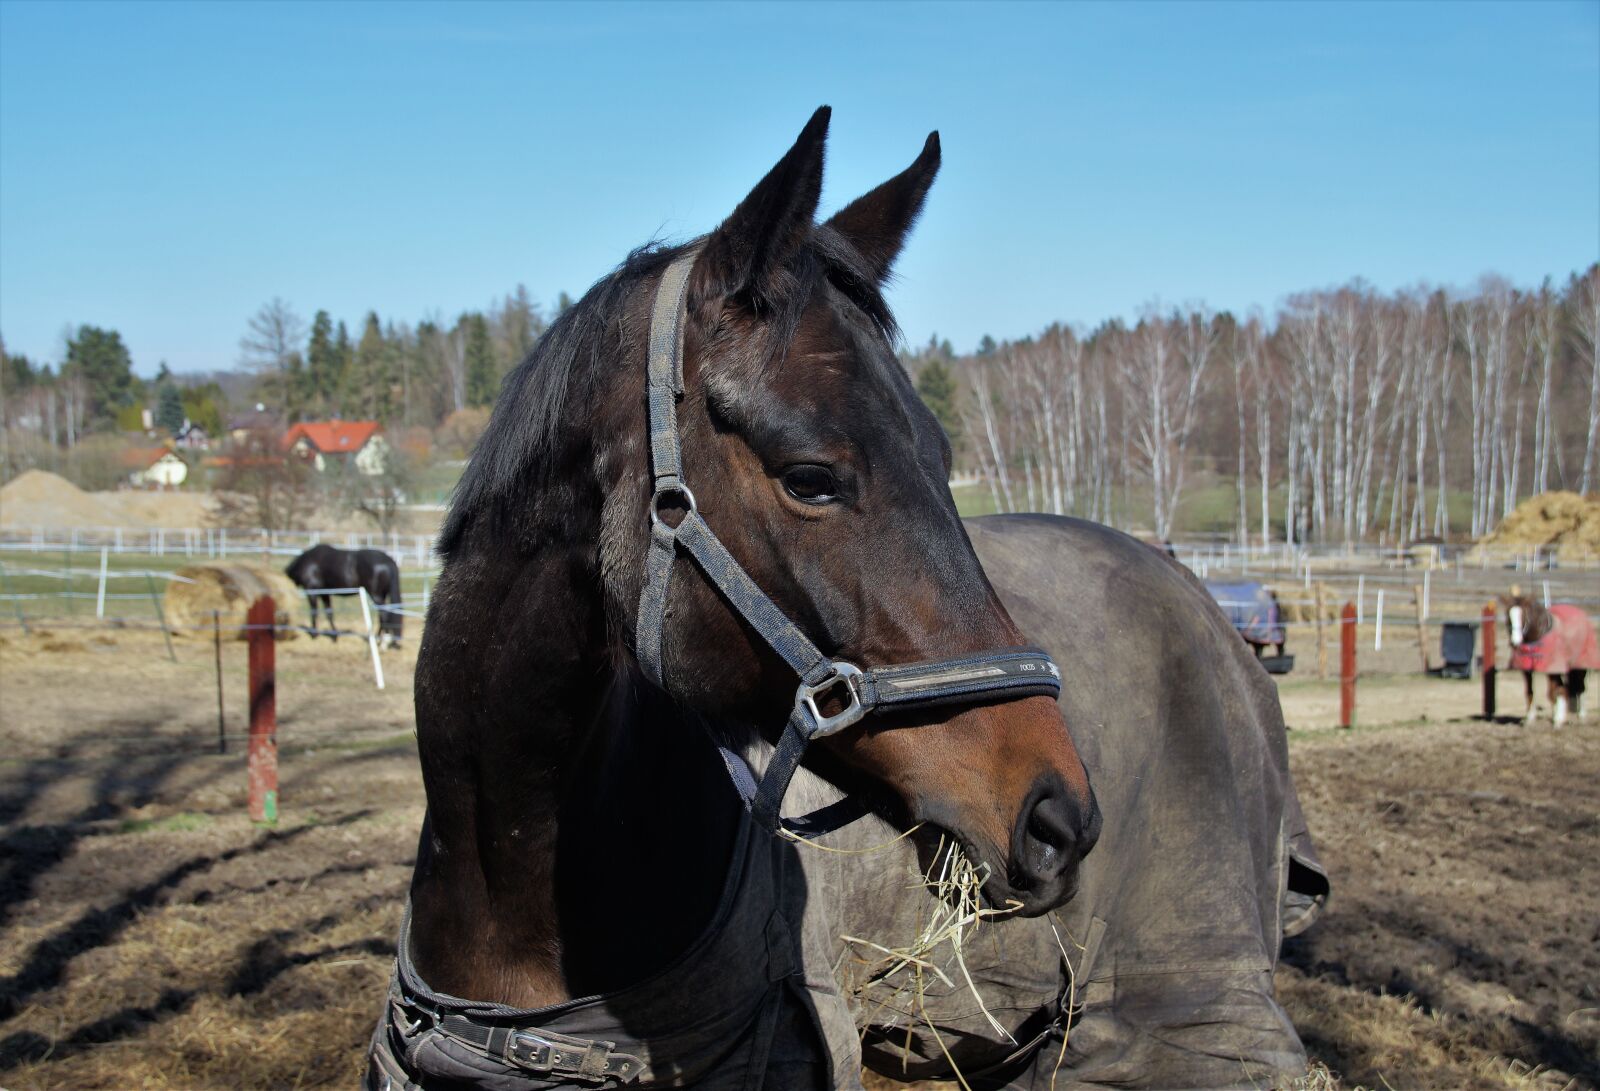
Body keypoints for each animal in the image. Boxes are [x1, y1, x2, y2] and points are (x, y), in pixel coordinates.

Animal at [1502, 591, 1599, 727]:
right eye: (1508, 615)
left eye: (1524, 615)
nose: (1514, 642)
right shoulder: (1527, 670)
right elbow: (1530, 691)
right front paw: (1530, 719)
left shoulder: (1552, 670)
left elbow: (1553, 693)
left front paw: (1557, 720)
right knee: (1565, 687)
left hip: (1580, 666)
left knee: (1579, 688)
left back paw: (1581, 716)